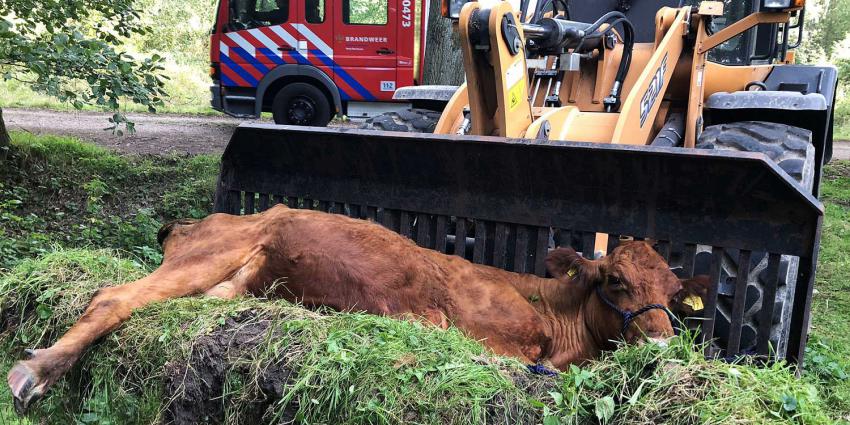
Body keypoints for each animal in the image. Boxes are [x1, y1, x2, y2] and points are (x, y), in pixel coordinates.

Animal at [6, 204, 704, 412]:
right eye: (615, 281)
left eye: (672, 295)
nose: (662, 343)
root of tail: (202, 220)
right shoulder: (492, 337)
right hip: (213, 257)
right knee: (114, 296)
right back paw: (36, 371)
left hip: (232, 284)